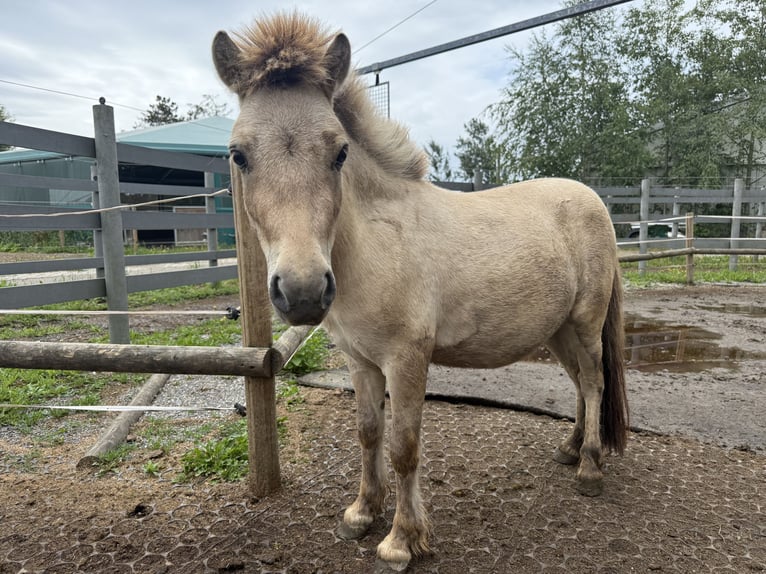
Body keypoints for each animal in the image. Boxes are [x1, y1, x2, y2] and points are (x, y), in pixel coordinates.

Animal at [212, 13, 629, 572]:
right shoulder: (361, 362)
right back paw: (569, 449)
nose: (301, 291)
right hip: (557, 331)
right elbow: (369, 435)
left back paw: (589, 469)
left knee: (595, 383)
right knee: (581, 386)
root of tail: (594, 201)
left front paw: (401, 540)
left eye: (339, 152)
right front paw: (361, 514)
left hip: (584, 326)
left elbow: (403, 448)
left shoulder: (407, 360)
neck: (378, 241)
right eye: (239, 155)